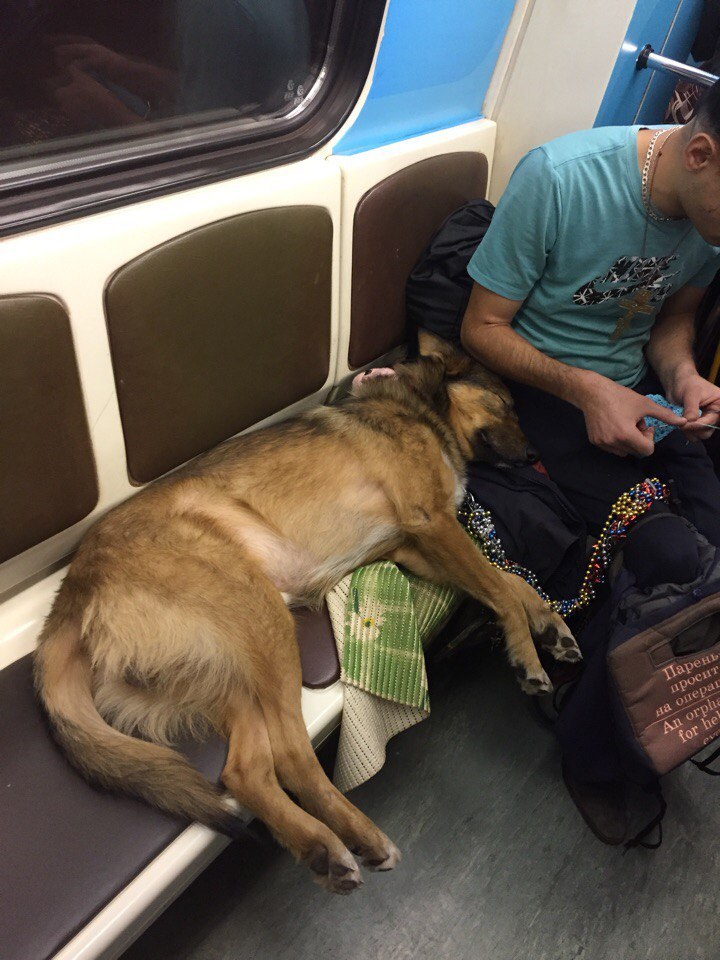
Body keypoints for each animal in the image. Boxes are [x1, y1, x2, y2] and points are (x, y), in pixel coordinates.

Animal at [35, 334, 580, 896]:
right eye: (507, 404)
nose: (537, 457)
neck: (419, 406)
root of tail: (71, 593)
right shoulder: (431, 523)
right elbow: (500, 587)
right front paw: (527, 655)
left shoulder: (416, 548)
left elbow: (509, 581)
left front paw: (551, 626)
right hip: (264, 622)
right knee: (292, 758)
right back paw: (361, 838)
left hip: (225, 671)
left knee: (245, 771)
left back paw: (320, 848)